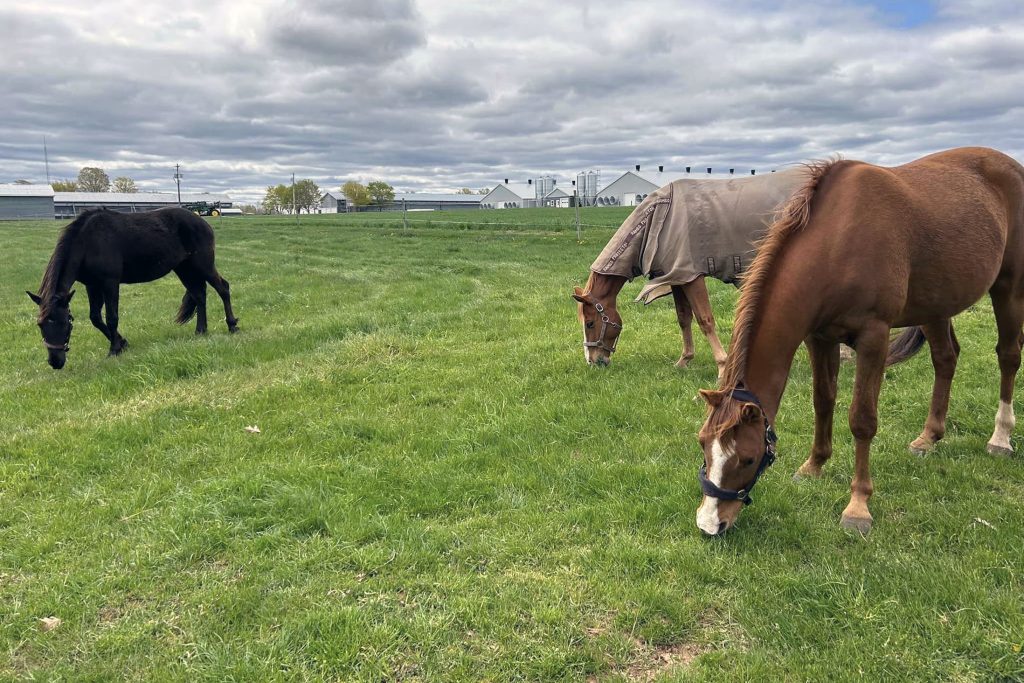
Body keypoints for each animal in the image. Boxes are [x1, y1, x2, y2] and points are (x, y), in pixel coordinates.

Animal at [27, 207, 238, 369]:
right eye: (40, 325)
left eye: (64, 323)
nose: (55, 362)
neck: (87, 242)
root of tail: (203, 222)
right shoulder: (92, 285)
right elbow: (95, 318)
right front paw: (122, 343)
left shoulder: (110, 283)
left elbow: (112, 318)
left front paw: (114, 350)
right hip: (184, 268)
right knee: (199, 295)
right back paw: (201, 330)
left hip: (202, 265)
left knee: (223, 288)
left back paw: (232, 325)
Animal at [573, 170, 804, 373]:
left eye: (590, 323)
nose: (592, 361)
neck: (657, 218)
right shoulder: (677, 278)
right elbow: (684, 318)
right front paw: (684, 360)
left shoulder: (692, 276)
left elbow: (705, 320)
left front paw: (722, 366)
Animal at [694, 147, 1024, 536]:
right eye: (703, 444)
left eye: (747, 458)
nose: (709, 524)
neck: (837, 242)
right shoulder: (819, 337)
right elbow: (823, 401)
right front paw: (814, 465)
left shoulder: (873, 338)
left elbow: (862, 420)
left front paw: (858, 505)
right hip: (936, 304)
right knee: (946, 359)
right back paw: (929, 437)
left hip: (1009, 288)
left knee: (1008, 356)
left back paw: (1000, 438)